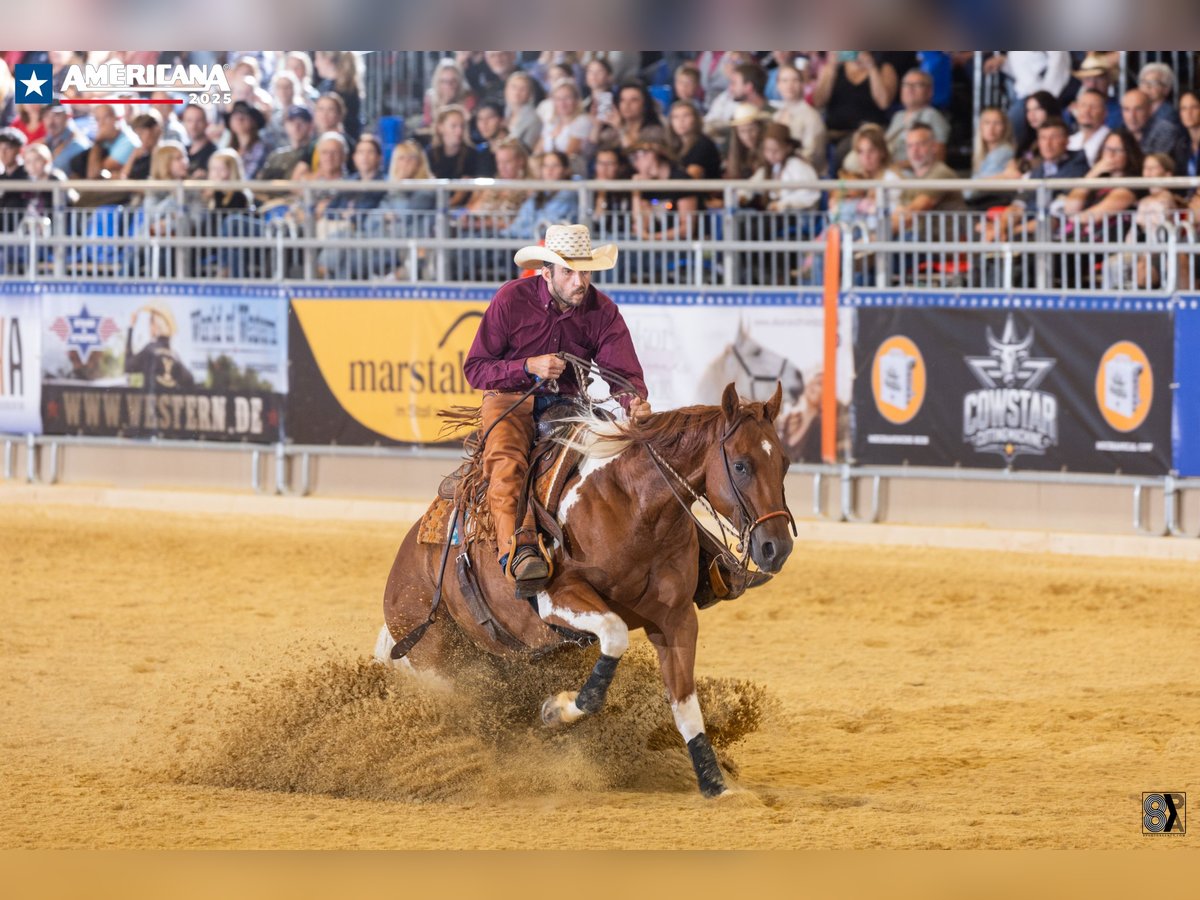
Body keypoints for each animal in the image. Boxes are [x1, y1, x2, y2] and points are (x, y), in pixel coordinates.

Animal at [376, 382, 794, 798]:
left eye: (785, 463)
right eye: (740, 465)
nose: (777, 548)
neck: (632, 505)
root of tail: (401, 571)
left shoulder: (676, 618)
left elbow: (684, 702)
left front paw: (715, 784)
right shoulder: (557, 599)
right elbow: (614, 635)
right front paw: (556, 710)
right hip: (437, 661)